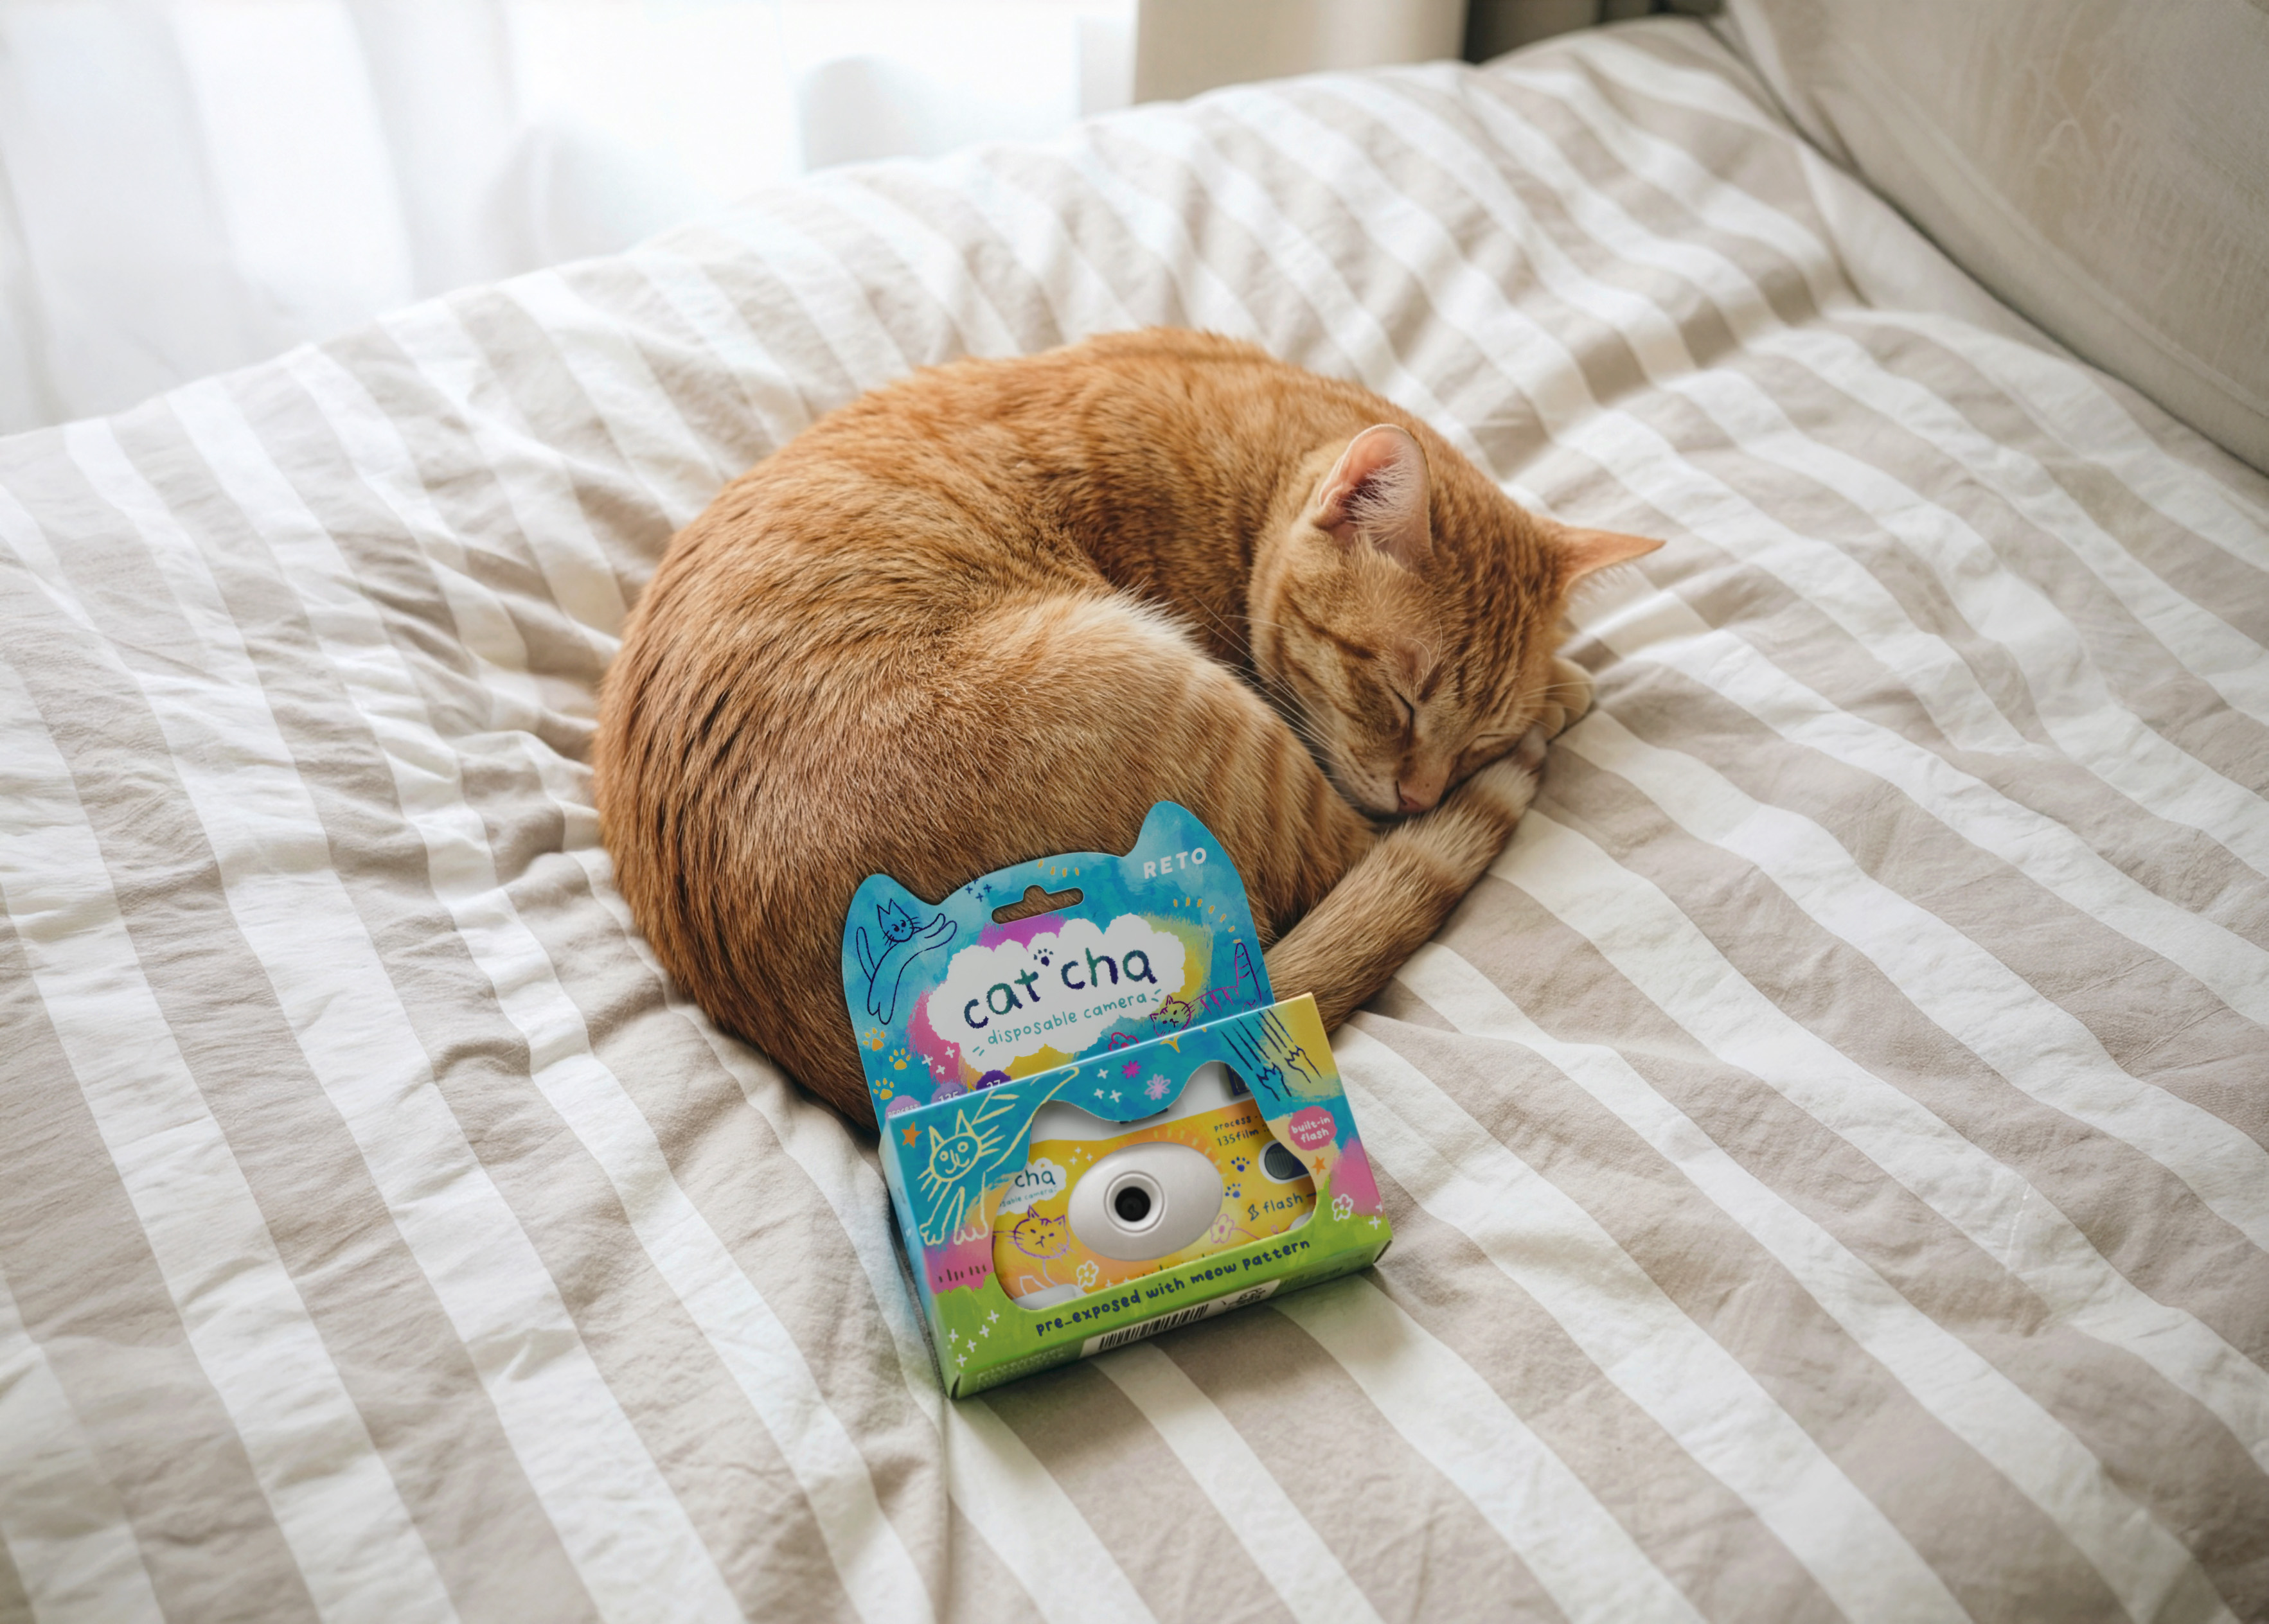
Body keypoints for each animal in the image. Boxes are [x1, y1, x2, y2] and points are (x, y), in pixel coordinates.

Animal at [593, 329, 1660, 1124]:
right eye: (1398, 698)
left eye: (1470, 733)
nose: (1423, 788)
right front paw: (1562, 691)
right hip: (1185, 705)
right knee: (1355, 855)